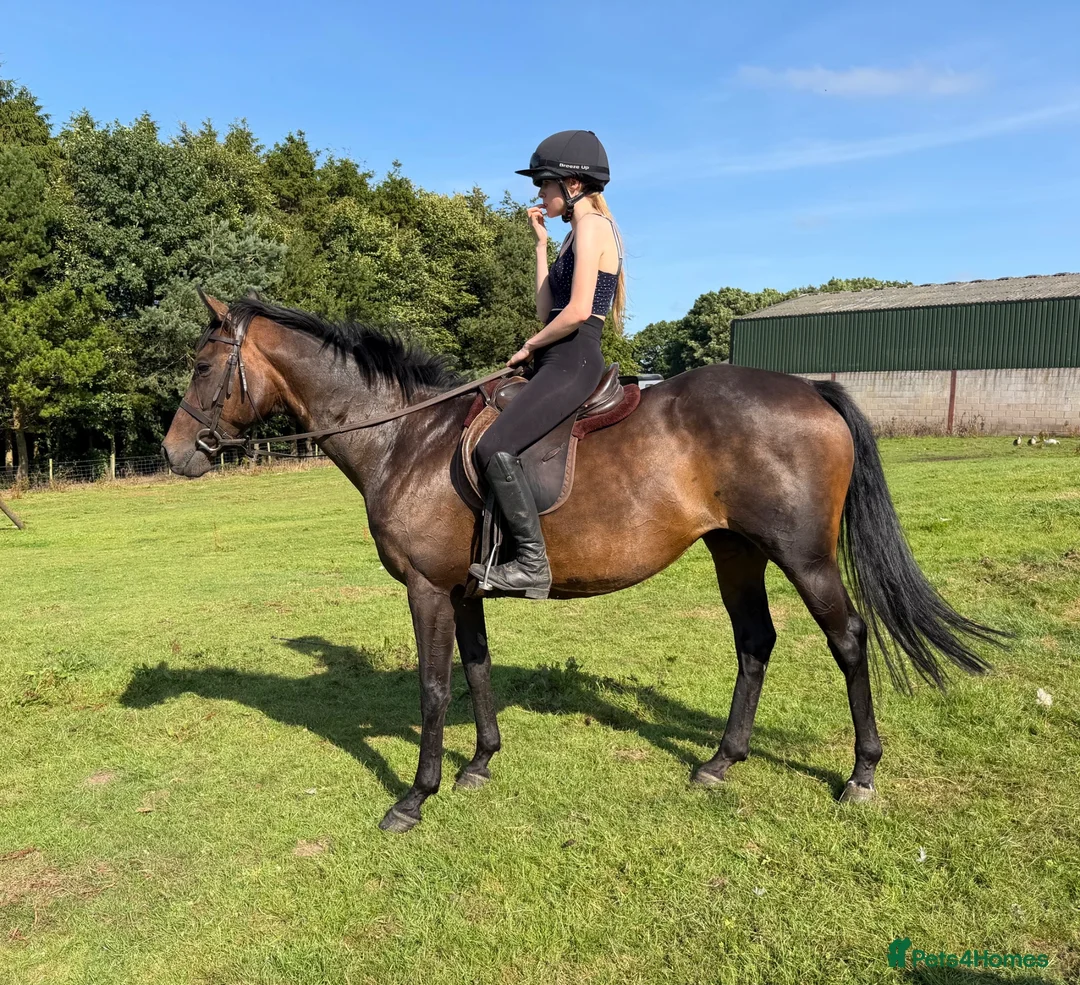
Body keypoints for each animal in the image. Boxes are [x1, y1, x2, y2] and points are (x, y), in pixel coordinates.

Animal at [161, 294, 1002, 833]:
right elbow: (477, 670)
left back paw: (861, 773)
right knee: (755, 642)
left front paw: (415, 798)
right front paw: (481, 764)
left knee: (848, 640)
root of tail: (813, 391)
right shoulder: (464, 590)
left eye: (202, 365)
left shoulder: (429, 589)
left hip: (802, 556)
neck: (409, 438)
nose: (173, 454)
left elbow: (432, 689)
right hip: (734, 550)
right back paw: (720, 761)